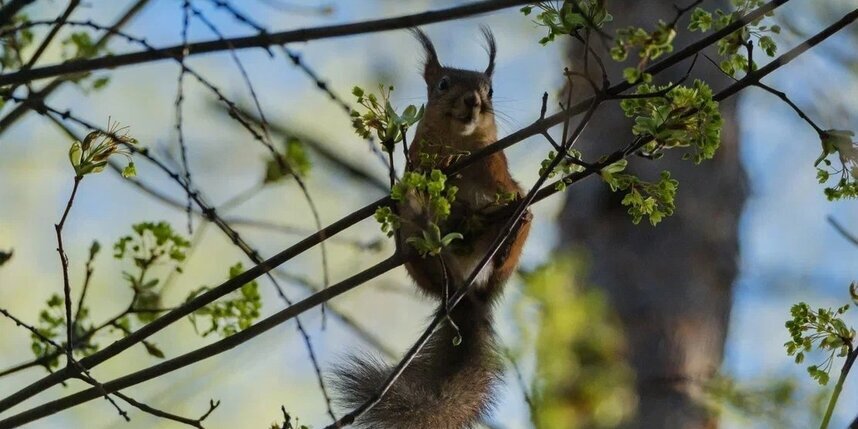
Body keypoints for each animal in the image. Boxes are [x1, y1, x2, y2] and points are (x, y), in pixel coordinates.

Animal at [332, 27, 528, 428]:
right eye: (443, 83)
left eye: (490, 90)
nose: (473, 100)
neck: (459, 143)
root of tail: (466, 292)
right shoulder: (416, 166)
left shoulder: (500, 174)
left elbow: (509, 193)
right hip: (413, 246)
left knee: (517, 227)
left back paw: (508, 235)